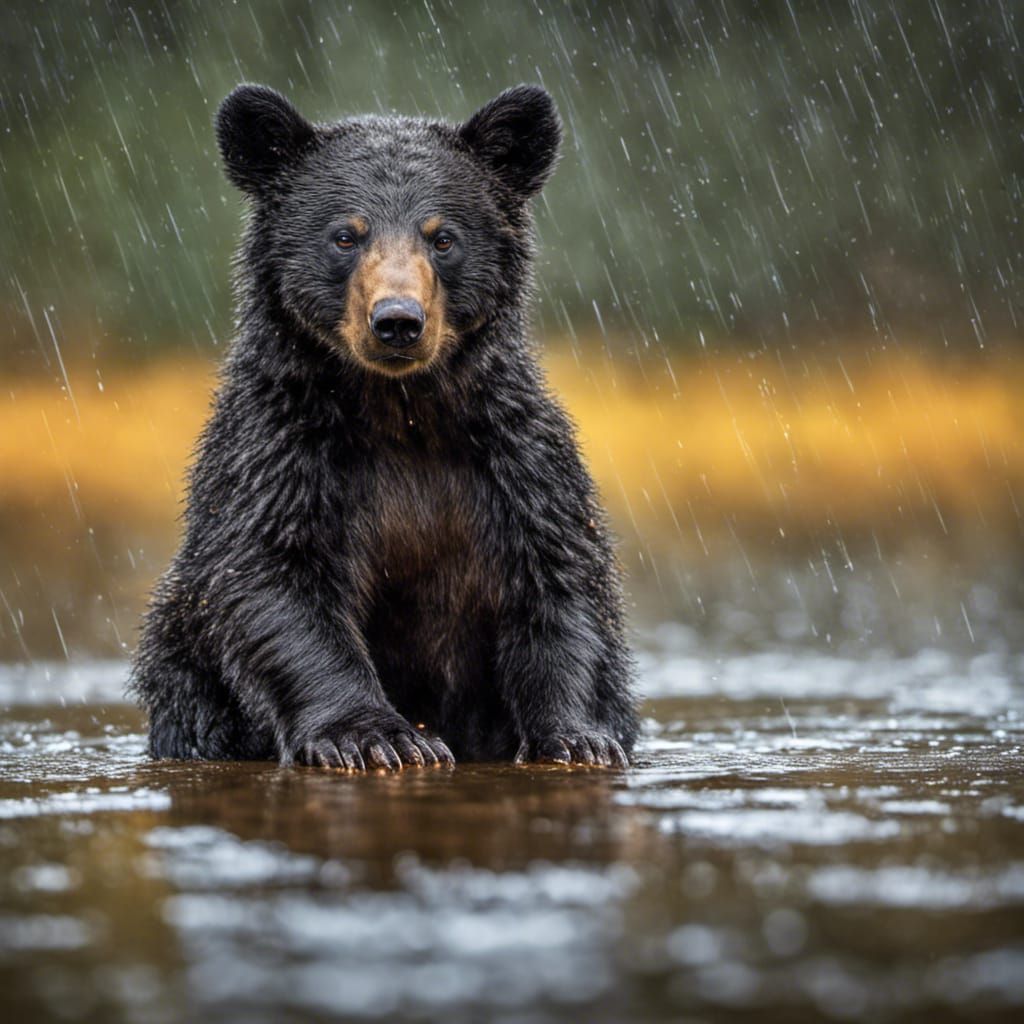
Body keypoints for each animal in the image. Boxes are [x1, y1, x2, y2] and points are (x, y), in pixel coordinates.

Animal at [130, 83, 638, 770]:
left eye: (442, 237)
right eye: (346, 235)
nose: (398, 320)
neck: (401, 410)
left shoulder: (517, 461)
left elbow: (558, 584)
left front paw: (577, 737)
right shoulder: (280, 454)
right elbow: (275, 582)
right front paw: (381, 739)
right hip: (188, 676)